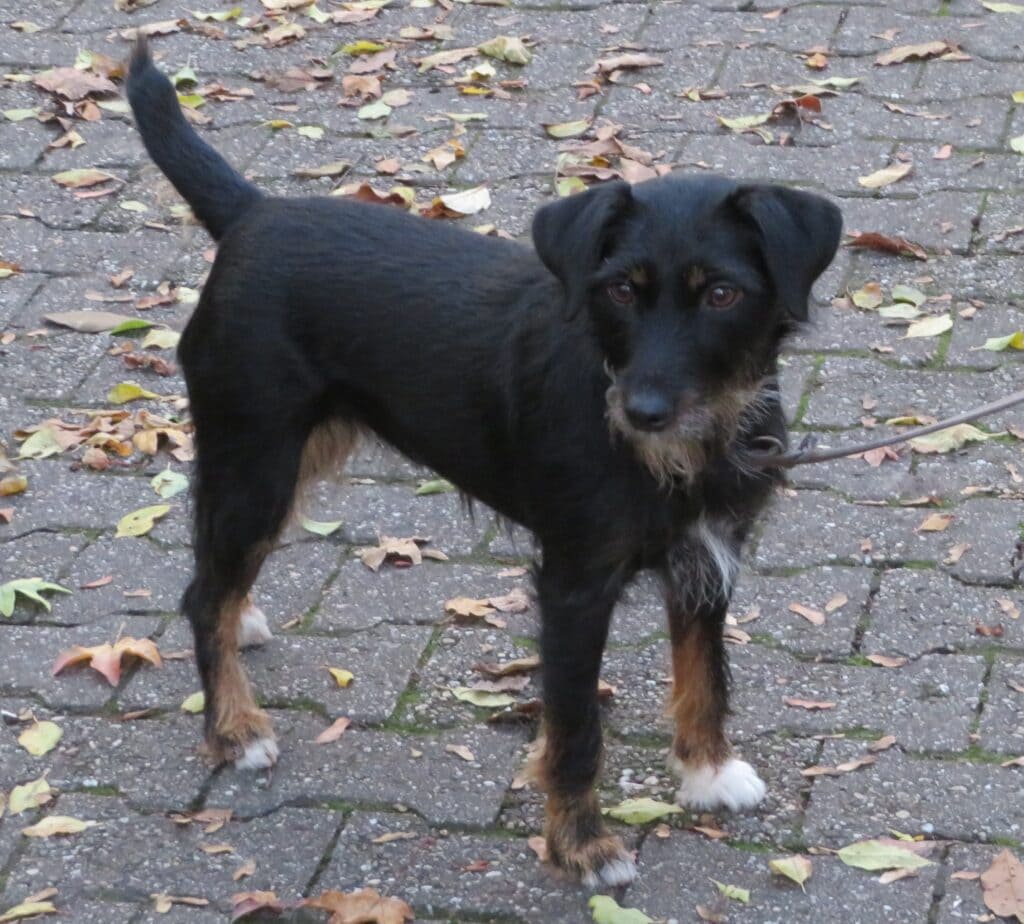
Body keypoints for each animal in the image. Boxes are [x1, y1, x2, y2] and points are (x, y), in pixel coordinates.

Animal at [125, 39, 839, 885]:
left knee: (222, 582)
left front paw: (706, 771)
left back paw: (245, 630)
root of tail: (251, 213)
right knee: (203, 593)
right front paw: (582, 845)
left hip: (294, 454)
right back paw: (234, 728)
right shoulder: (574, 585)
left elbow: (705, 673)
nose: (643, 412)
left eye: (723, 294)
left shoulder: (707, 554)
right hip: (254, 458)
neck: (685, 445)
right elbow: (575, 729)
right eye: (621, 291)